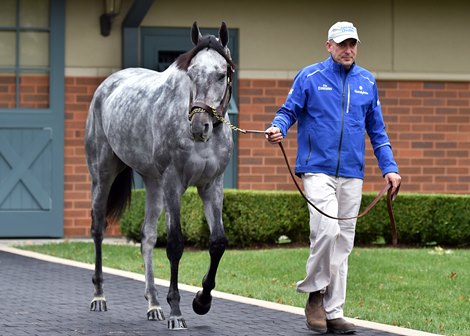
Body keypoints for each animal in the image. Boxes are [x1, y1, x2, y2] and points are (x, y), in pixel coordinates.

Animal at [85, 21, 235, 330]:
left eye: (221, 74)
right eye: (191, 73)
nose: (199, 126)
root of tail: (107, 86)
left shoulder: (212, 186)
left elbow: (217, 242)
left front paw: (202, 301)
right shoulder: (173, 183)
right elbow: (175, 243)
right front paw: (177, 312)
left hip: (153, 183)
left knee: (147, 237)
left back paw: (153, 304)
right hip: (103, 174)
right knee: (98, 230)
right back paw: (99, 296)